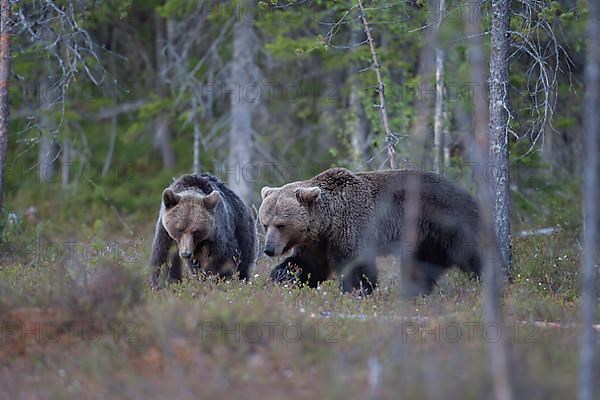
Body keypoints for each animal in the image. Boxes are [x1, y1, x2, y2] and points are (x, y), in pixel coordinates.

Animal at [260, 167, 486, 296]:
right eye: (264, 223)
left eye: (280, 224)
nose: (269, 249)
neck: (328, 222)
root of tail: (467, 194)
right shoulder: (316, 242)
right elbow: (307, 266)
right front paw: (281, 278)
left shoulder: (352, 227)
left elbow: (357, 267)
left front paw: (356, 292)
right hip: (426, 239)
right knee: (422, 266)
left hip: (447, 222)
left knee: (473, 255)